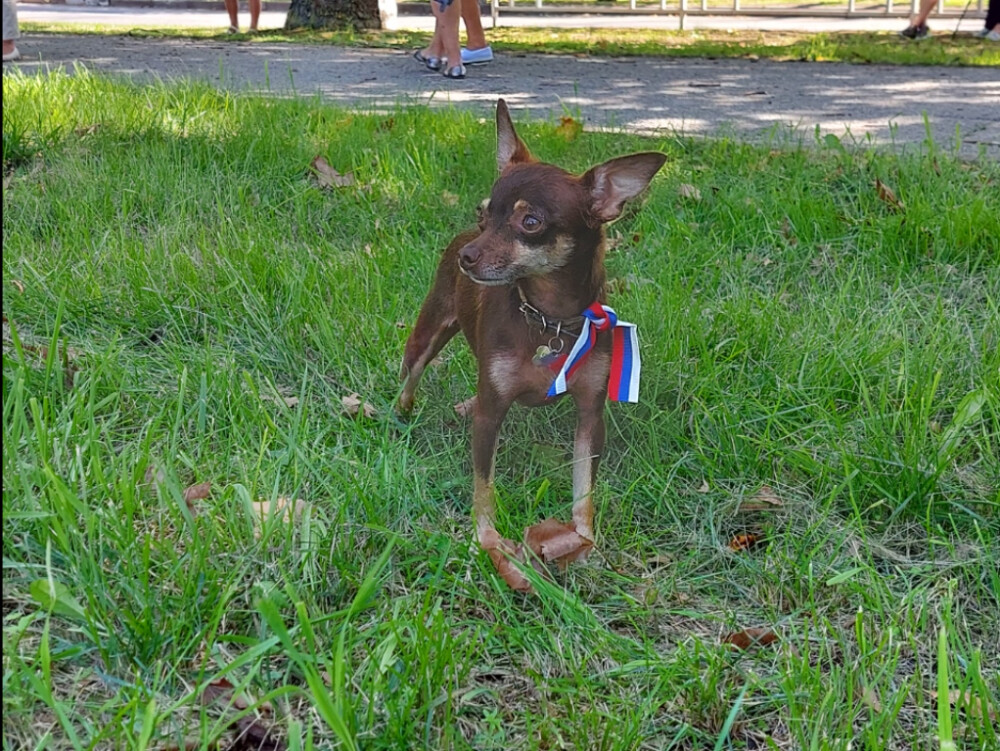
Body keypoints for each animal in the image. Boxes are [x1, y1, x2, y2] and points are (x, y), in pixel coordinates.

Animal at [398, 100, 664, 592]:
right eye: (483, 215)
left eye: (531, 222)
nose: (468, 257)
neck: (547, 319)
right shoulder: (491, 415)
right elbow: (483, 487)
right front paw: (484, 542)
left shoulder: (590, 417)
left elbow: (583, 489)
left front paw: (584, 542)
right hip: (427, 334)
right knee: (411, 376)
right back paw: (402, 414)